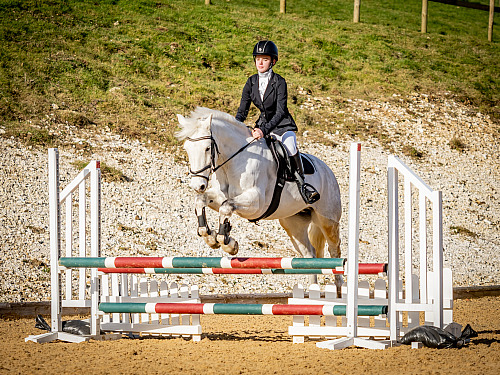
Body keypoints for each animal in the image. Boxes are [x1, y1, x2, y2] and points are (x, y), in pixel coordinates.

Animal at [177, 107, 344, 284]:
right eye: (186, 149)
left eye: (207, 148)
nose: (198, 186)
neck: (235, 159)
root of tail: (327, 170)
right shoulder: (220, 195)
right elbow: (202, 201)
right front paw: (211, 236)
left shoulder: (256, 203)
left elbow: (226, 207)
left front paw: (227, 243)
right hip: (293, 224)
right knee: (309, 255)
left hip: (328, 220)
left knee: (334, 251)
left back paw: (339, 286)